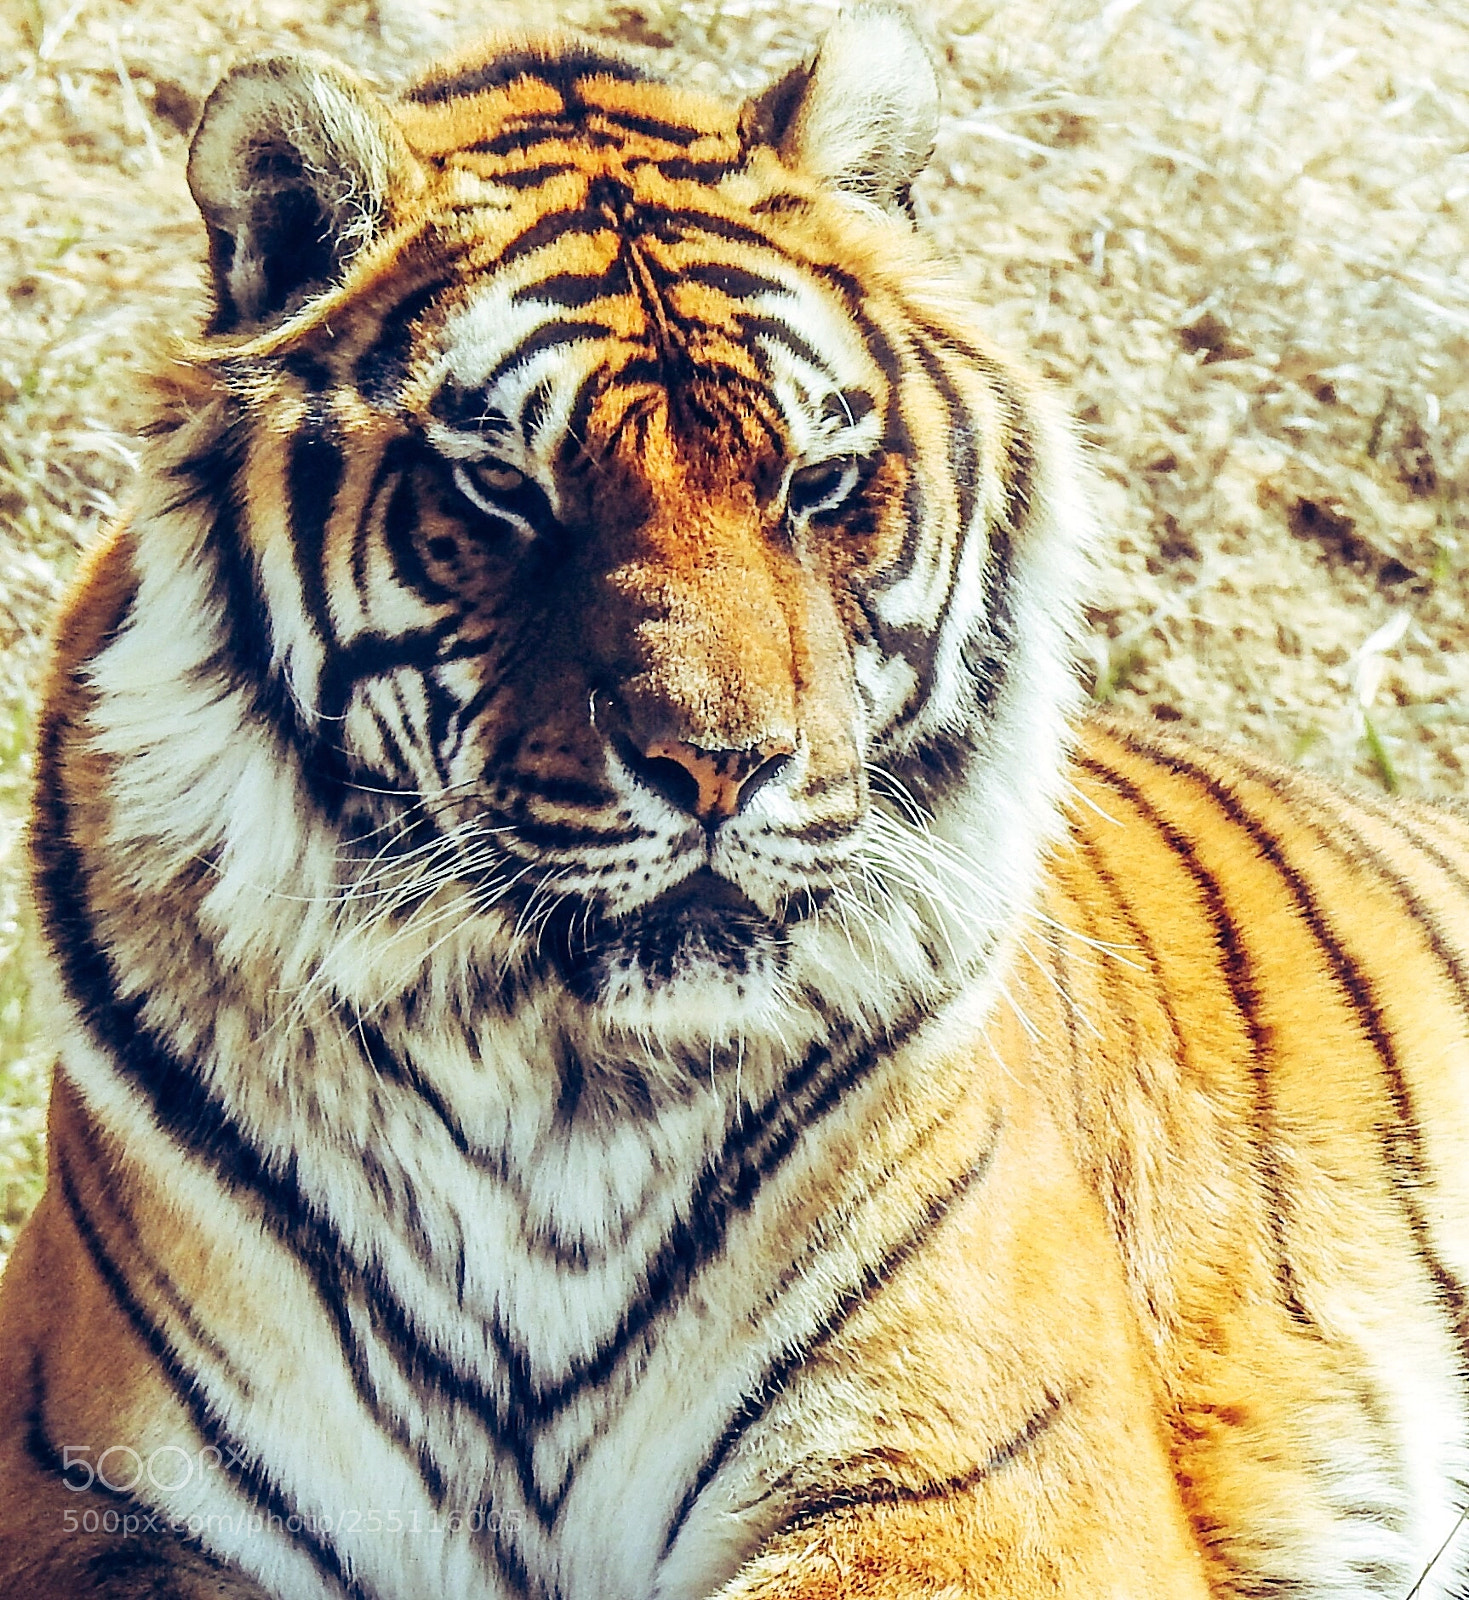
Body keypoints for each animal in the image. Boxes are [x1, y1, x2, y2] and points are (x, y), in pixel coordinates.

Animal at [2, 4, 1468, 1597]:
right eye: (503, 492)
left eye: (816, 484)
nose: (719, 764)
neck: (561, 1100)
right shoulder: (93, 1492)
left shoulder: (985, 1475)